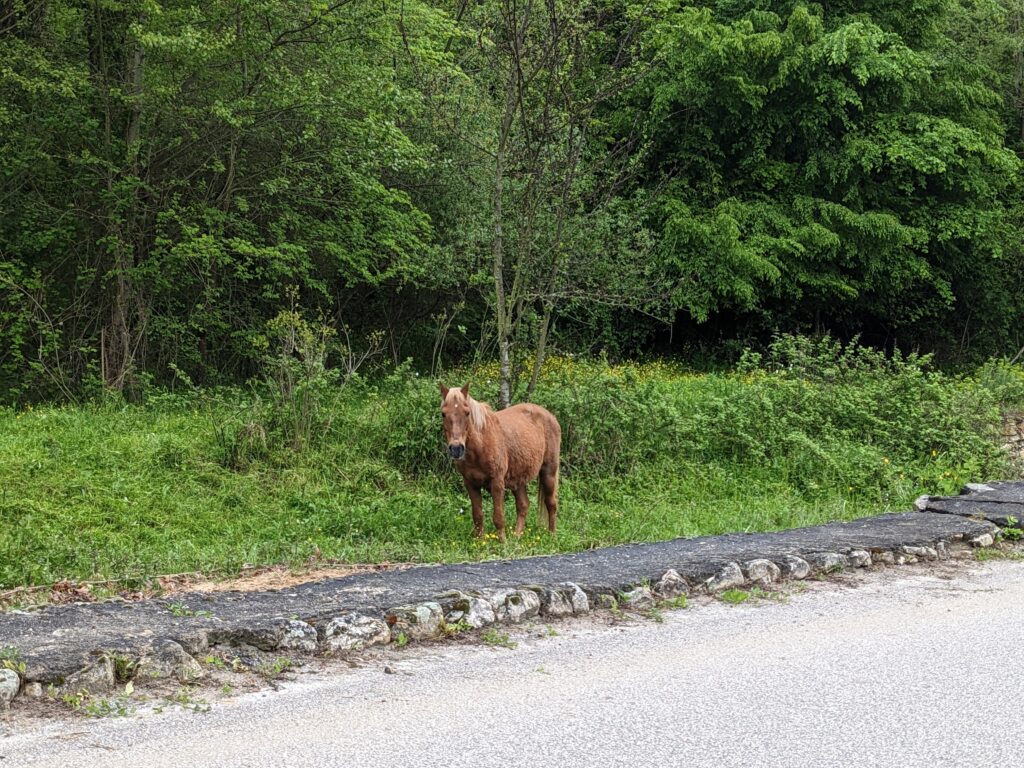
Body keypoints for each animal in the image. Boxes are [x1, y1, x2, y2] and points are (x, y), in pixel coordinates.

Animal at [439, 383, 561, 542]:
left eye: (467, 413)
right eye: (443, 413)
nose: (456, 448)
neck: (481, 445)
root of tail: (551, 417)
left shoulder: (497, 482)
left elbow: (498, 517)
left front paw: (502, 542)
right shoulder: (470, 484)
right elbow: (477, 515)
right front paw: (480, 542)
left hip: (549, 472)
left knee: (551, 503)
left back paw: (552, 536)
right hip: (518, 479)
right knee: (523, 505)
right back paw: (516, 537)